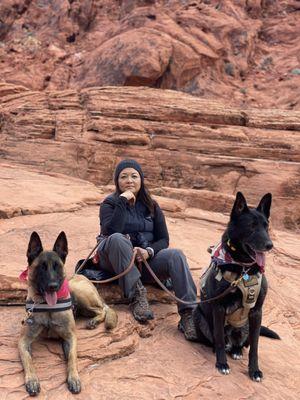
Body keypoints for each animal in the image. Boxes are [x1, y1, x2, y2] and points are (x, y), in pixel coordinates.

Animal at [18, 231, 118, 396]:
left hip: (79, 291)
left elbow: (72, 358)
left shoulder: (70, 337)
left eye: (57, 266)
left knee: (102, 309)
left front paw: (74, 378)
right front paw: (32, 380)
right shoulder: (23, 341)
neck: (48, 307)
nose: (53, 286)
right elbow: (28, 360)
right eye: (41, 267)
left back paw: (94, 321)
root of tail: (81, 276)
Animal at [193, 193, 280, 382]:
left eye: (266, 226)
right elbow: (218, 338)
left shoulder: (257, 312)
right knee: (218, 339)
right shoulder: (218, 307)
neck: (243, 269)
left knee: (241, 344)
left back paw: (237, 350)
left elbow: (255, 347)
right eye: (251, 226)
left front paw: (254, 370)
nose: (270, 245)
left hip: (246, 326)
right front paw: (221, 364)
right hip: (198, 315)